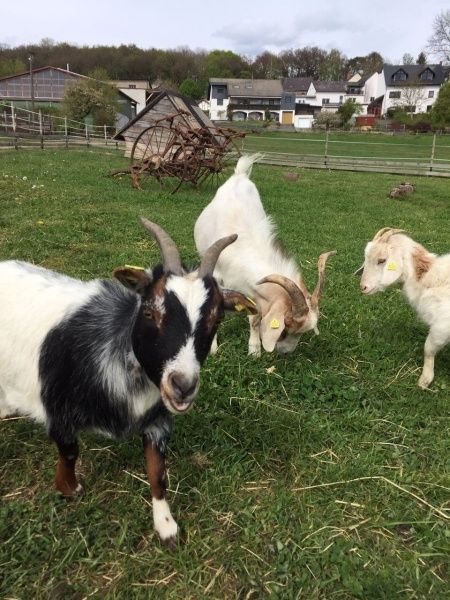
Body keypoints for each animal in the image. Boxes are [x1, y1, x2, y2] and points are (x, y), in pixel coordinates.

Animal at [0, 219, 248, 548]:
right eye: (149, 311)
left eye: (216, 319)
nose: (182, 385)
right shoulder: (58, 411)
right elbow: (70, 451)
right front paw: (69, 488)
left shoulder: (158, 420)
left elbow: (157, 473)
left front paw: (166, 527)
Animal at [195, 152, 336, 356]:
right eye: (284, 330)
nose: (286, 352)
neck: (243, 248)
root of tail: (239, 175)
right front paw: (212, 347)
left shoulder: (254, 294)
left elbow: (255, 318)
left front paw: (254, 349)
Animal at [358, 229, 450, 390]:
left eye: (382, 260)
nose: (363, 287)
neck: (428, 277)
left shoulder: (441, 326)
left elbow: (428, 349)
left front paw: (425, 380)